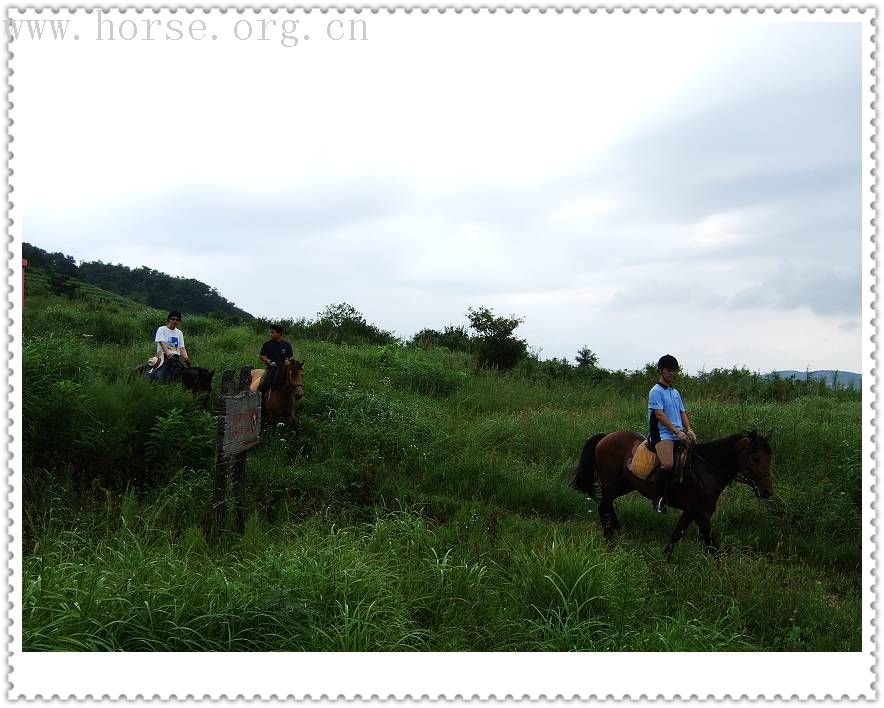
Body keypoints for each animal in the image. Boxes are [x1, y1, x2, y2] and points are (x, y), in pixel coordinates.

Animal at [572, 428, 772, 560]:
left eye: (769, 458)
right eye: (756, 458)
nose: (767, 491)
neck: (706, 469)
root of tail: (606, 437)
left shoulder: (691, 511)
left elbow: (677, 534)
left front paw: (665, 558)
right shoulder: (701, 513)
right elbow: (711, 544)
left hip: (624, 485)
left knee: (607, 504)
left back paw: (615, 527)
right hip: (612, 483)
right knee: (603, 506)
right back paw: (609, 542)